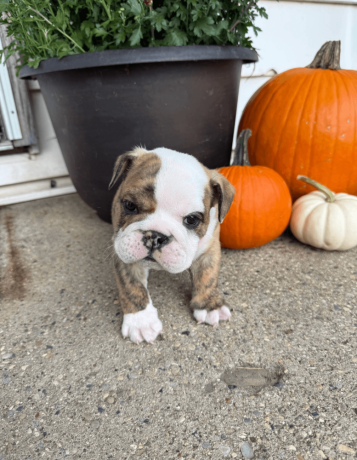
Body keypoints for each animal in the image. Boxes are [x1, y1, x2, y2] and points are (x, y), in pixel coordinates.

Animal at [110, 146, 235, 344]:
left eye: (192, 219)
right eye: (130, 205)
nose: (155, 236)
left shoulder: (210, 249)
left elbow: (207, 276)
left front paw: (209, 305)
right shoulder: (122, 249)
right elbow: (132, 287)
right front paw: (141, 322)